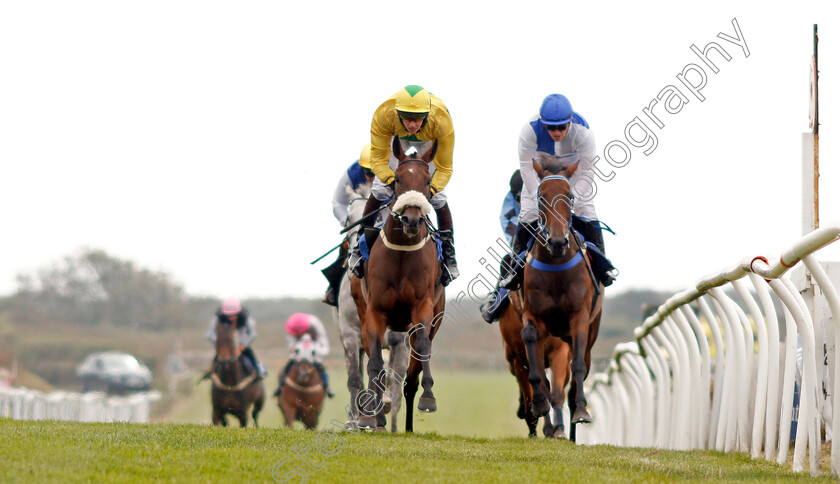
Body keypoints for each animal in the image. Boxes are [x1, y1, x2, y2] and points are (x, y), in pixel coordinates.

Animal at [352, 136, 446, 432]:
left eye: (427, 181)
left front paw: (429, 397)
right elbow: (374, 363)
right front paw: (370, 416)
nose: (412, 219)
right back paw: (377, 417)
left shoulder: (423, 308)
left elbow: (423, 350)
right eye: (398, 181)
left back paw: (408, 425)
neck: (403, 252)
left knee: (411, 375)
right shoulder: (375, 312)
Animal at [498, 288, 572, 438]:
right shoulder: (520, 361)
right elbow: (533, 393)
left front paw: (559, 430)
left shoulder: (559, 352)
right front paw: (542, 427)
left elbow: (556, 392)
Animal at [520, 160, 600, 442]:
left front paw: (581, 411)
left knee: (580, 370)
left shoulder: (579, 319)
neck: (555, 264)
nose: (556, 242)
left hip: (590, 332)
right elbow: (534, 365)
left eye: (570, 197)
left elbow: (577, 367)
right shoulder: (532, 316)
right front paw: (539, 403)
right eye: (542, 197)